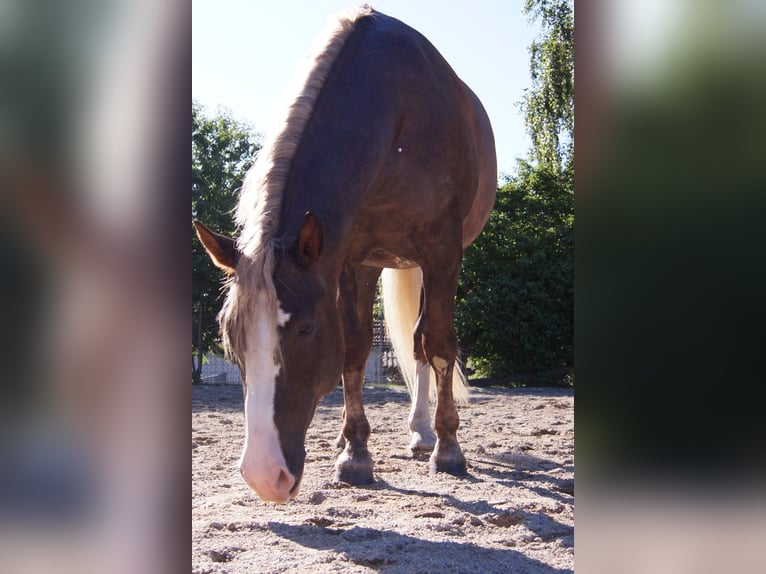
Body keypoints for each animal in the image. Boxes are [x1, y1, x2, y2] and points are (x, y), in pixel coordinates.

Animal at [194, 5, 496, 503]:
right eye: (229, 335)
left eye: (305, 329)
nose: (264, 476)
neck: (398, 111)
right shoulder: (350, 259)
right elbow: (353, 350)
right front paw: (355, 454)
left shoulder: (442, 250)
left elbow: (438, 343)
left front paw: (449, 449)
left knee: (421, 341)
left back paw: (423, 433)